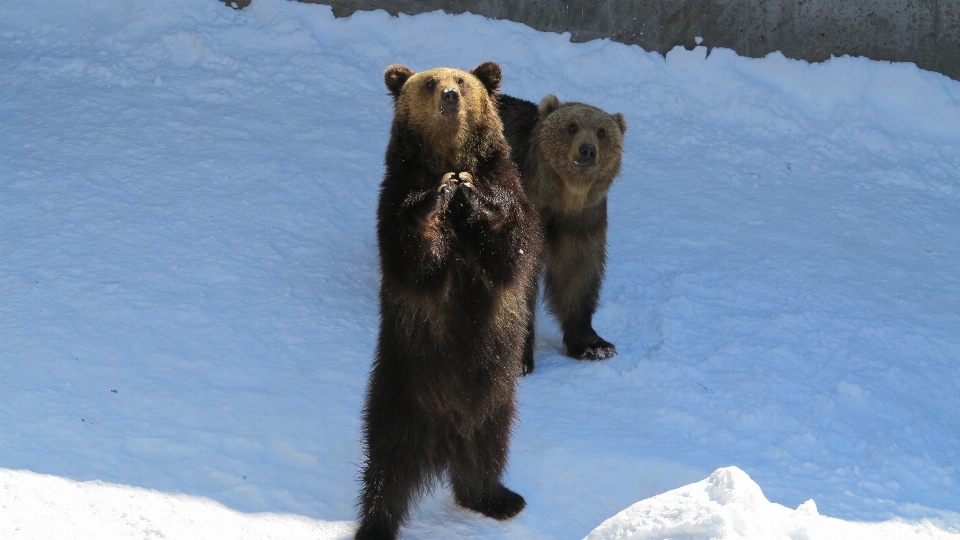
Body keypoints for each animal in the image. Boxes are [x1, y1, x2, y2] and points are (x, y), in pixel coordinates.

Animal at [356, 63, 544, 540]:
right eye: (427, 82)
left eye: (461, 80)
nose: (449, 97)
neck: (448, 158)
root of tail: (444, 440)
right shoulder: (393, 201)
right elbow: (414, 258)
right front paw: (435, 199)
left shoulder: (512, 189)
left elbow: (511, 248)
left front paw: (475, 196)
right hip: (402, 386)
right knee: (387, 465)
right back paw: (376, 523)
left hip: (498, 398)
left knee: (488, 452)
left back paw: (498, 499)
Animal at [498, 93, 628, 374]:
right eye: (572, 126)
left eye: (602, 131)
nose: (587, 150)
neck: (562, 196)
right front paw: (519, 359)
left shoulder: (582, 220)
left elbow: (576, 273)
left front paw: (593, 345)